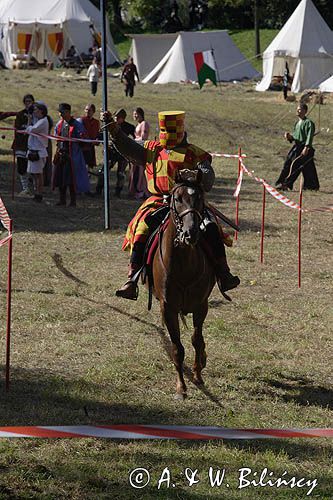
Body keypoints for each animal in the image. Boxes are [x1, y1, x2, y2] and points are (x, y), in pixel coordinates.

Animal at [151, 170, 215, 400]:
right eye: (177, 199)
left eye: (200, 198)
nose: (191, 233)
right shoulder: (168, 308)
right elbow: (177, 347)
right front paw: (181, 387)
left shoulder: (201, 305)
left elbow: (197, 339)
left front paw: (197, 373)